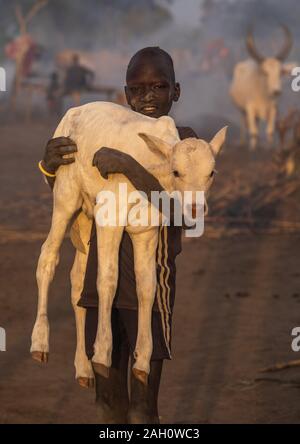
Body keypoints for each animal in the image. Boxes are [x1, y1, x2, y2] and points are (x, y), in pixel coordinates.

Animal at [31, 102, 227, 386]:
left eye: (211, 173)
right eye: (176, 172)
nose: (195, 208)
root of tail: (73, 112)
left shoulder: (148, 229)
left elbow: (147, 286)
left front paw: (143, 361)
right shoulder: (109, 217)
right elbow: (107, 280)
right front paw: (102, 353)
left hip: (86, 216)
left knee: (77, 279)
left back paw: (83, 368)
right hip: (67, 194)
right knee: (48, 257)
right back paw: (40, 344)